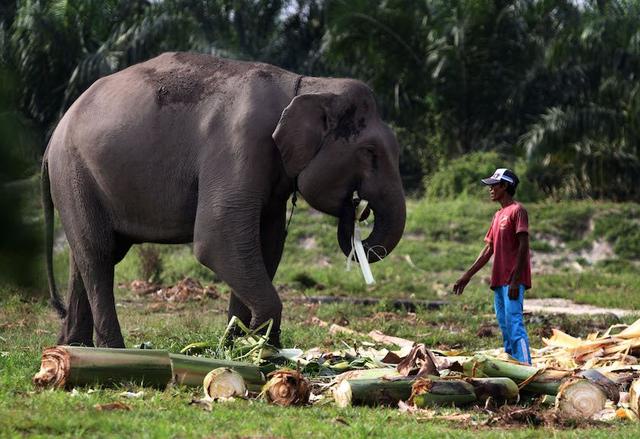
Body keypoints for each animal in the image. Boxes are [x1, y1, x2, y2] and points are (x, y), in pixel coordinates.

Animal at [42, 51, 404, 348]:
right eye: (369, 152)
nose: (356, 210)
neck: (305, 85)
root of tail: (51, 141)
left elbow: (267, 244)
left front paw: (241, 344)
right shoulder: (240, 143)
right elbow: (218, 240)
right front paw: (260, 342)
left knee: (84, 257)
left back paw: (73, 347)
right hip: (74, 173)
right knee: (99, 255)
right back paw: (112, 350)